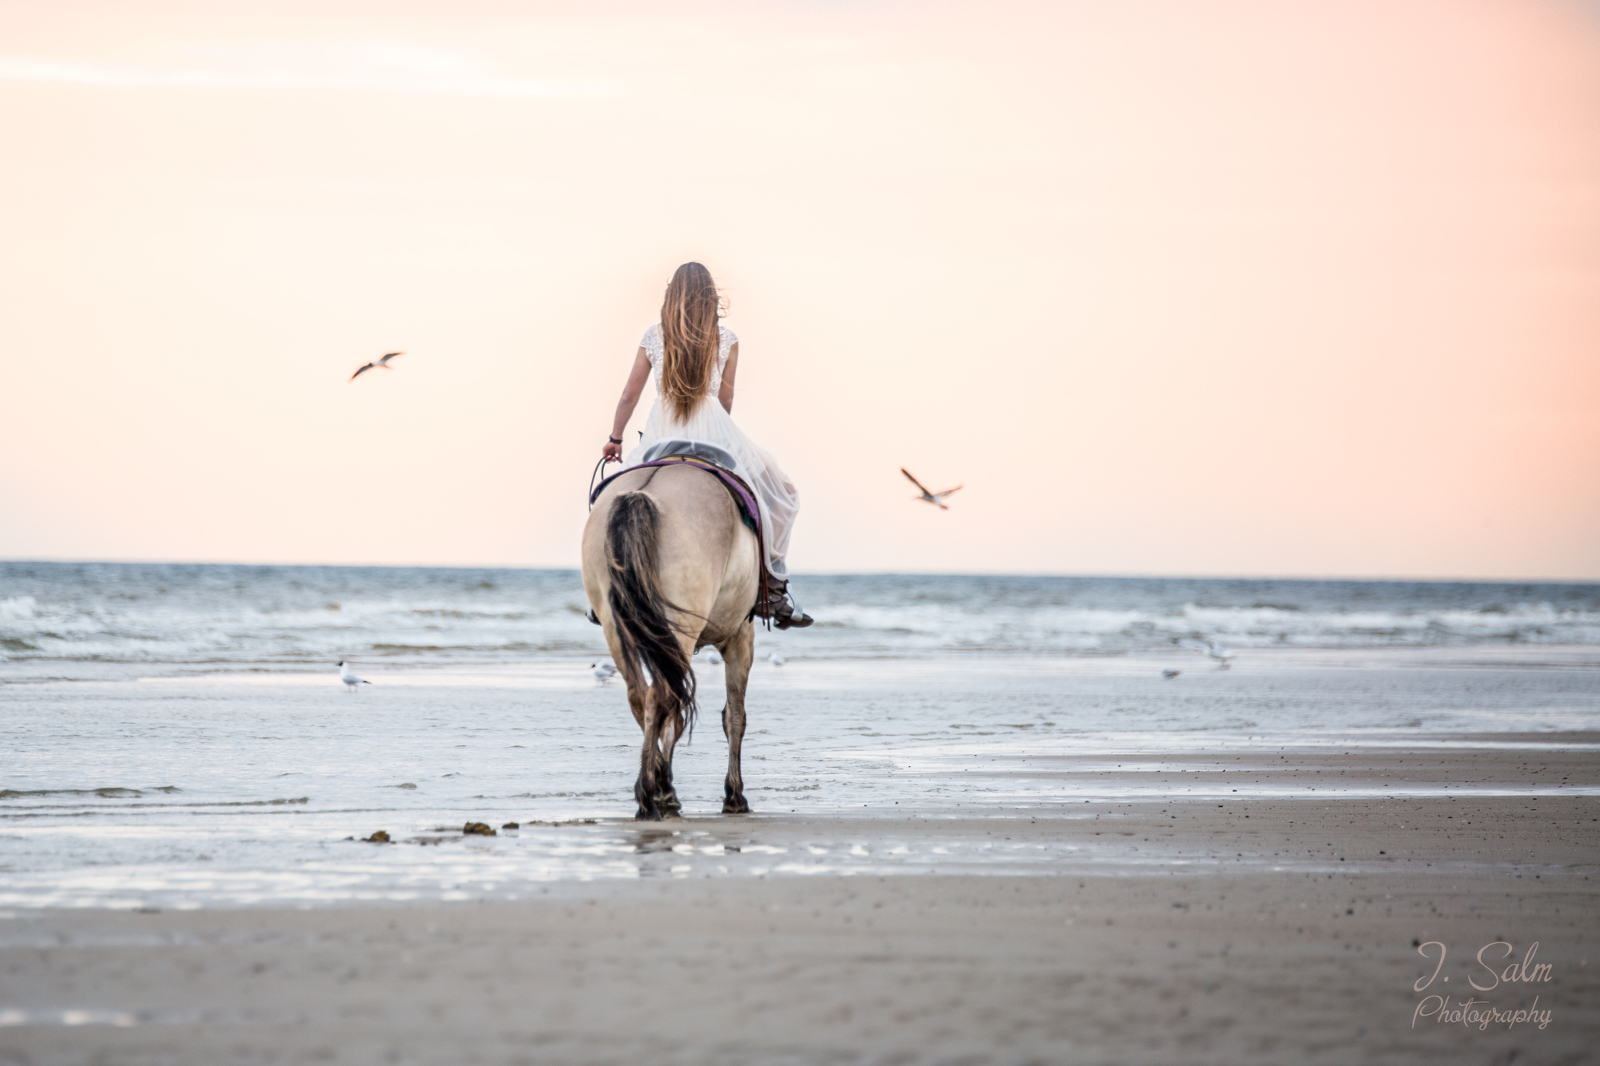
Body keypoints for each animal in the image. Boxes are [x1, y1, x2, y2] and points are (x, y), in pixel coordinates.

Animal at [582, 457, 761, 813]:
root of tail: (641, 493)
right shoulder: (741, 637)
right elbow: (735, 717)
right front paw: (734, 794)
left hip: (616, 628)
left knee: (643, 696)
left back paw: (652, 788)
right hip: (682, 629)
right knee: (665, 697)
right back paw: (653, 791)